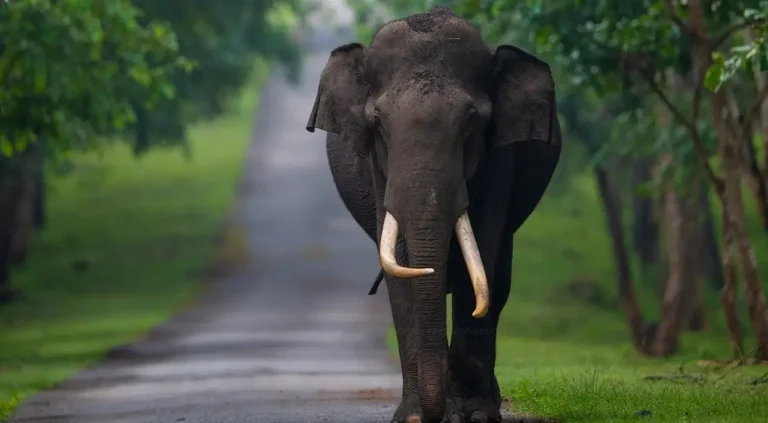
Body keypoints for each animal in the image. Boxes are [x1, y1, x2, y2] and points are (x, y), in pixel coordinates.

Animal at [306, 6, 564, 423]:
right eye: (377, 123)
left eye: (471, 120)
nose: (434, 412)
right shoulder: (381, 171)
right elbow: (402, 265)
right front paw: (414, 416)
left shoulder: (499, 159)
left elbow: (479, 262)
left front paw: (473, 415)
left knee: (499, 283)